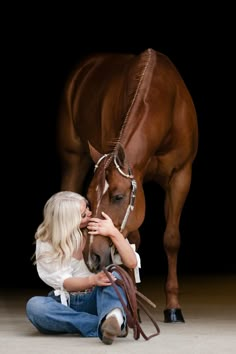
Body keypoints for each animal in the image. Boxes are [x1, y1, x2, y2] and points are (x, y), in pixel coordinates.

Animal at [57, 48, 199, 322]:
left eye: (119, 197)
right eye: (89, 198)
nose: (93, 257)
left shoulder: (180, 176)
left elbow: (171, 239)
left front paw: (173, 307)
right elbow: (133, 240)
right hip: (73, 160)